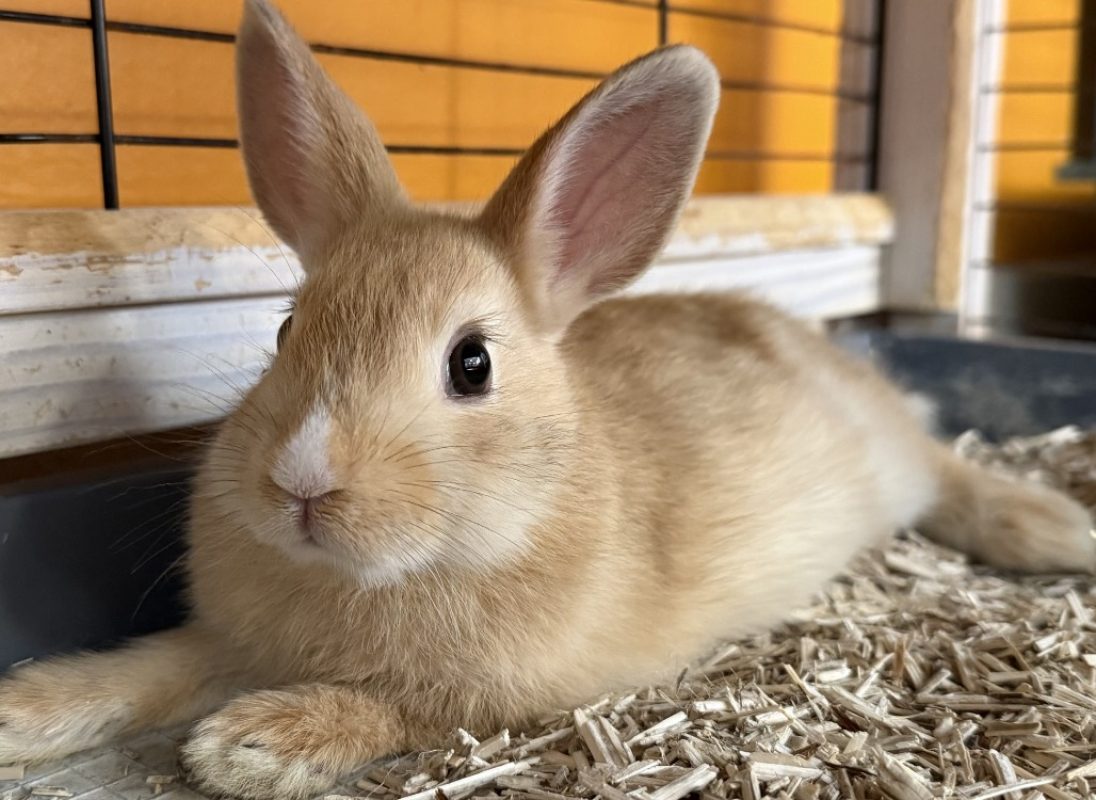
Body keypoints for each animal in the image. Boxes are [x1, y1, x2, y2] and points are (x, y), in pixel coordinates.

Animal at [1, 1, 1093, 798]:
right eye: (283, 332)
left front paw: (255, 743)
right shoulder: (225, 636)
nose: (301, 483)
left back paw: (1055, 528)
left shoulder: (509, 690)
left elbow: (401, 708)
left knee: (950, 473)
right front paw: (24, 711)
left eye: (472, 365)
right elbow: (150, 664)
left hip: (900, 465)